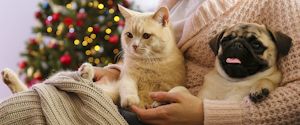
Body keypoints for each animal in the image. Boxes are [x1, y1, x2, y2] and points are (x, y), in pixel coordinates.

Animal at [1, 5, 186, 110]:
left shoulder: (172, 84)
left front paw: (160, 102)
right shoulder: (127, 78)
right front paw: (131, 100)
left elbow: (178, 90)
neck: (149, 63)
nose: (134, 45)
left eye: (146, 36)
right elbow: (128, 88)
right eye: (129, 35)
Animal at [152, 23, 290, 107]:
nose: (237, 44)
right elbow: (181, 89)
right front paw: (164, 98)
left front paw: (260, 87)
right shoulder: (200, 99)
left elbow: (266, 79)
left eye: (256, 45)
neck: (233, 81)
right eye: (225, 41)